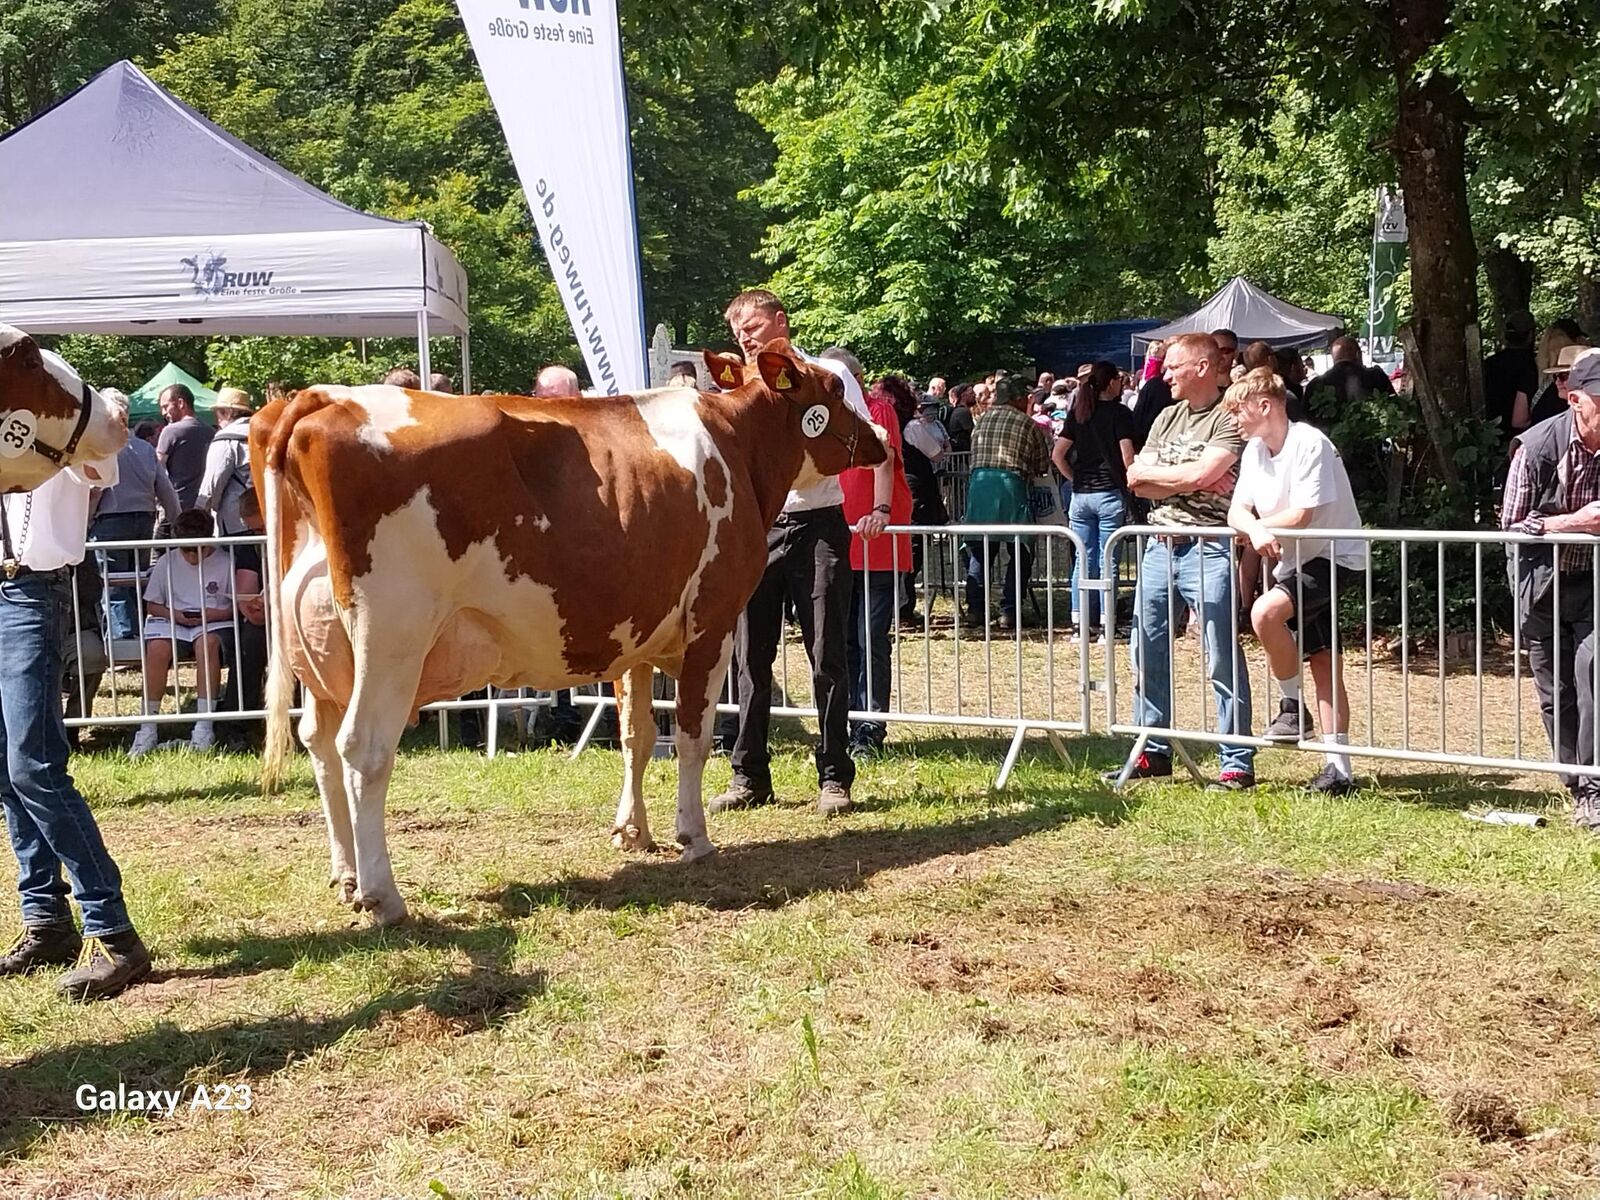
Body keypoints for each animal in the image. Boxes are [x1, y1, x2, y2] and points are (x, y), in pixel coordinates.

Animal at [256, 342, 896, 928]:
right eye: (834, 390)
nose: (880, 441)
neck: (736, 444)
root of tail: (321, 398)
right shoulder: (710, 624)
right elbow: (692, 735)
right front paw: (693, 836)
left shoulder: (636, 636)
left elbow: (638, 735)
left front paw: (632, 831)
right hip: (391, 638)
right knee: (363, 749)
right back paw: (383, 897)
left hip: (319, 649)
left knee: (318, 742)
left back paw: (344, 875)